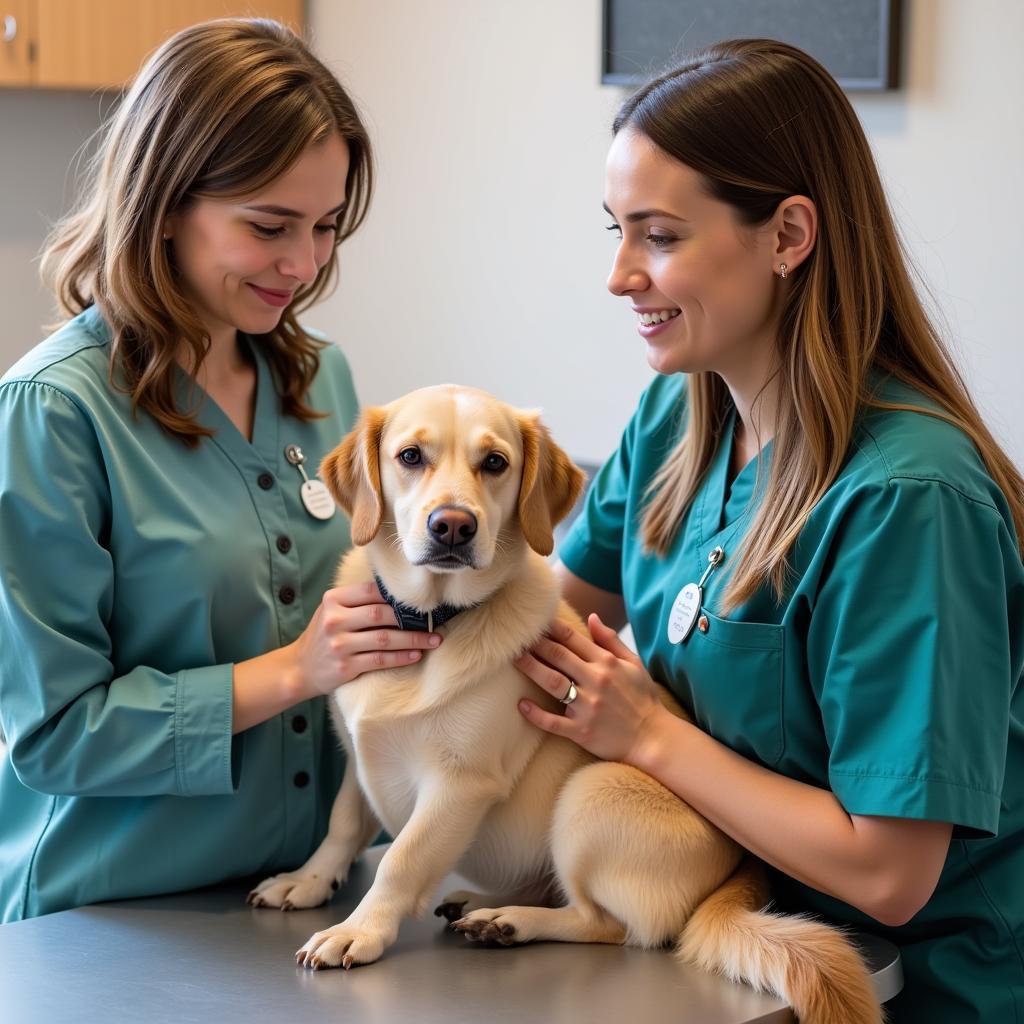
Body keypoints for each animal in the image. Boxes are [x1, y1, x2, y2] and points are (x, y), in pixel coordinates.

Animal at [249, 385, 880, 1024]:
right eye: (409, 456)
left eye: (495, 463)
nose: (452, 526)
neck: (433, 622)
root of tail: (745, 864)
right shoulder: (361, 756)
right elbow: (343, 824)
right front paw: (309, 880)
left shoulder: (459, 783)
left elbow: (401, 858)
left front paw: (359, 930)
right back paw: (480, 904)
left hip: (590, 794)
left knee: (609, 926)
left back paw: (510, 922)